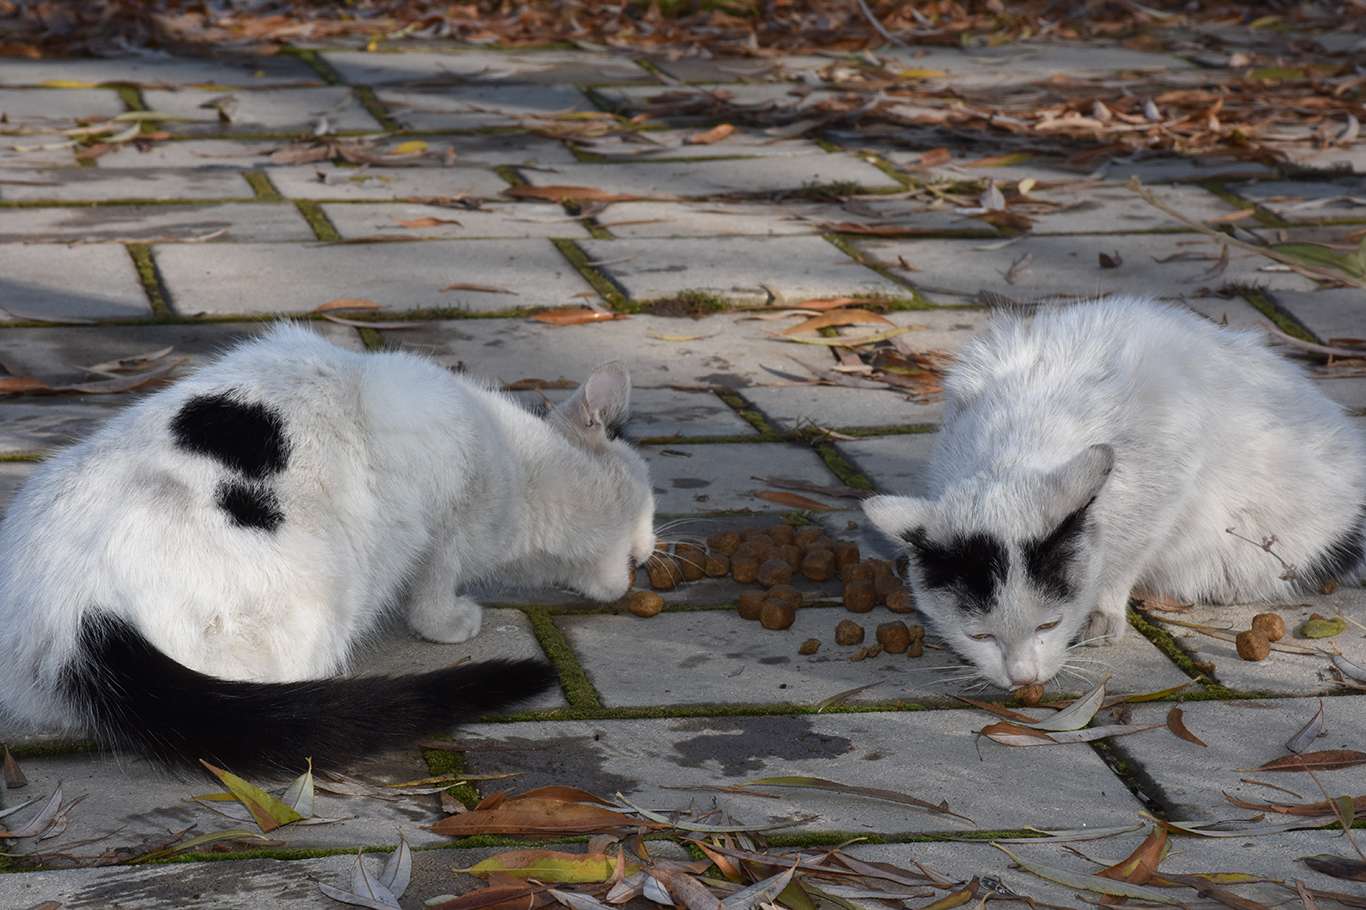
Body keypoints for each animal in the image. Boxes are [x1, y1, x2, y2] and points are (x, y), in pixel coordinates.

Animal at [0, 323, 657, 771]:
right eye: (649, 505)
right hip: (310, 614)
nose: (655, 550)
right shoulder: (440, 481)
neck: (521, 465)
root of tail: (72, 614)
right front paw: (450, 621)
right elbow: (434, 579)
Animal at [862, 297, 1365, 692]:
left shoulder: (1167, 478)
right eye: (980, 636)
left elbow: (1126, 555)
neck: (1017, 444)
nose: (1023, 678)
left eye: (1049, 624)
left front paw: (1102, 610)